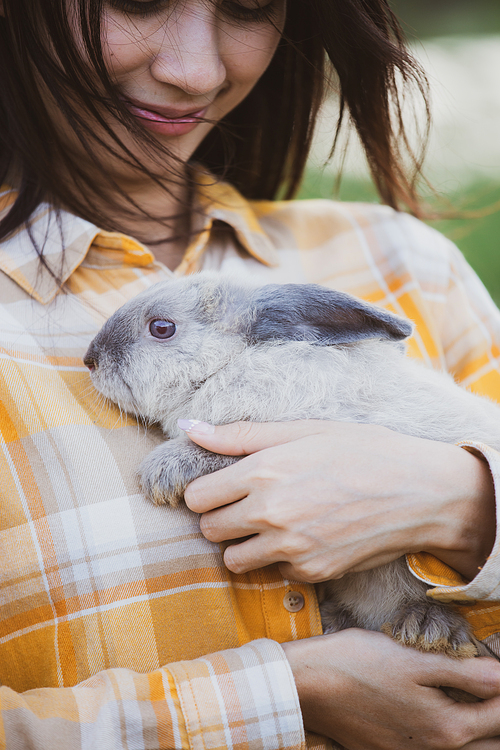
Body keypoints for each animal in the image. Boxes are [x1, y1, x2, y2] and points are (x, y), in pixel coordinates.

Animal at [84, 274, 500, 664]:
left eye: (161, 328)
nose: (90, 359)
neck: (228, 365)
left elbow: (216, 452)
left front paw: (160, 474)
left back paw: (430, 629)